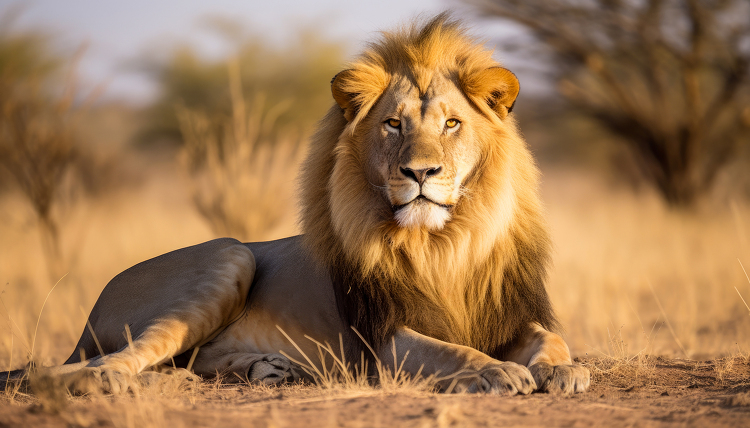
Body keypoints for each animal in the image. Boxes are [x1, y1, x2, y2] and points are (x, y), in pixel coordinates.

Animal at [2, 13, 592, 394]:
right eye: (393, 124)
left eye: (451, 124)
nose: (420, 173)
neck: (445, 243)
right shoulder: (381, 339)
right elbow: (450, 350)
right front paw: (496, 371)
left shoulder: (506, 313)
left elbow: (552, 337)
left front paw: (563, 370)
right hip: (230, 253)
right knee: (98, 363)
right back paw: (106, 382)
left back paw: (271, 369)